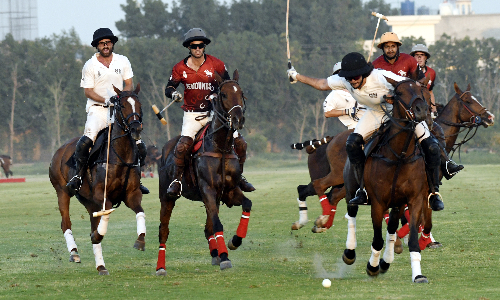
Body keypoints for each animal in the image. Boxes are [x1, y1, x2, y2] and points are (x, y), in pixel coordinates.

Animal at [49, 83, 146, 276]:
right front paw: (97, 236)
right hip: (62, 191)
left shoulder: (132, 194)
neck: (120, 155)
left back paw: (101, 266)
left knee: (93, 223)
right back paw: (74, 253)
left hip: (88, 201)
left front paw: (140, 240)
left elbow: (140, 212)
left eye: (139, 105)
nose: (136, 129)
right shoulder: (102, 195)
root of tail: (59, 150)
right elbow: (105, 216)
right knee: (65, 222)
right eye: (122, 105)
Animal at [155, 70, 252, 276]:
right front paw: (225, 258)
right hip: (166, 197)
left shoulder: (228, 192)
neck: (221, 147)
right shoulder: (208, 190)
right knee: (163, 230)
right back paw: (160, 267)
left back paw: (215, 254)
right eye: (224, 95)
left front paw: (234, 242)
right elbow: (217, 224)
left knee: (207, 228)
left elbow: (247, 204)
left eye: (241, 94)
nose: (238, 120)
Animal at [292, 82, 494, 234]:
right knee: (318, 186)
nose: (490, 117)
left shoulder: (419, 189)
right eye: (468, 100)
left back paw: (318, 223)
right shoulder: (422, 187)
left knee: (324, 193)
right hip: (338, 176)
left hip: (346, 182)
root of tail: (331, 139)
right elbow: (419, 216)